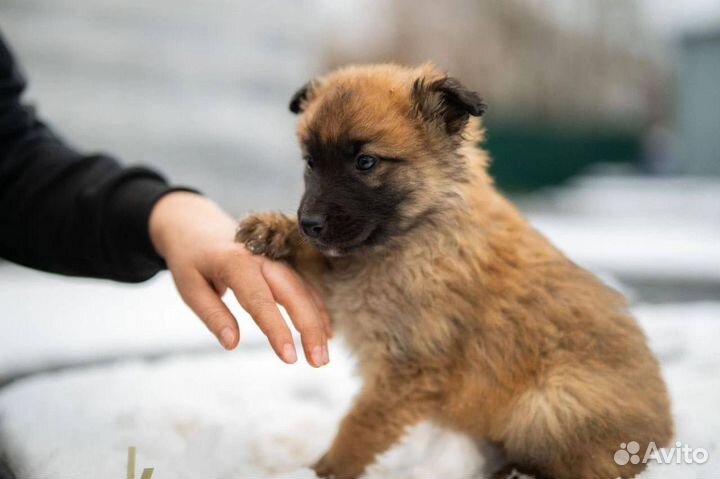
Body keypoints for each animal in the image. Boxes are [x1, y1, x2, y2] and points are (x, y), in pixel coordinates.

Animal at [238, 63, 676, 479]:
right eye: (311, 163)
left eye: (365, 162)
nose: (309, 223)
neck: (420, 229)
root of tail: (662, 439)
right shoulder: (347, 284)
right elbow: (322, 262)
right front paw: (273, 231)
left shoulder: (408, 368)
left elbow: (359, 429)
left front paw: (323, 471)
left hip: (552, 404)